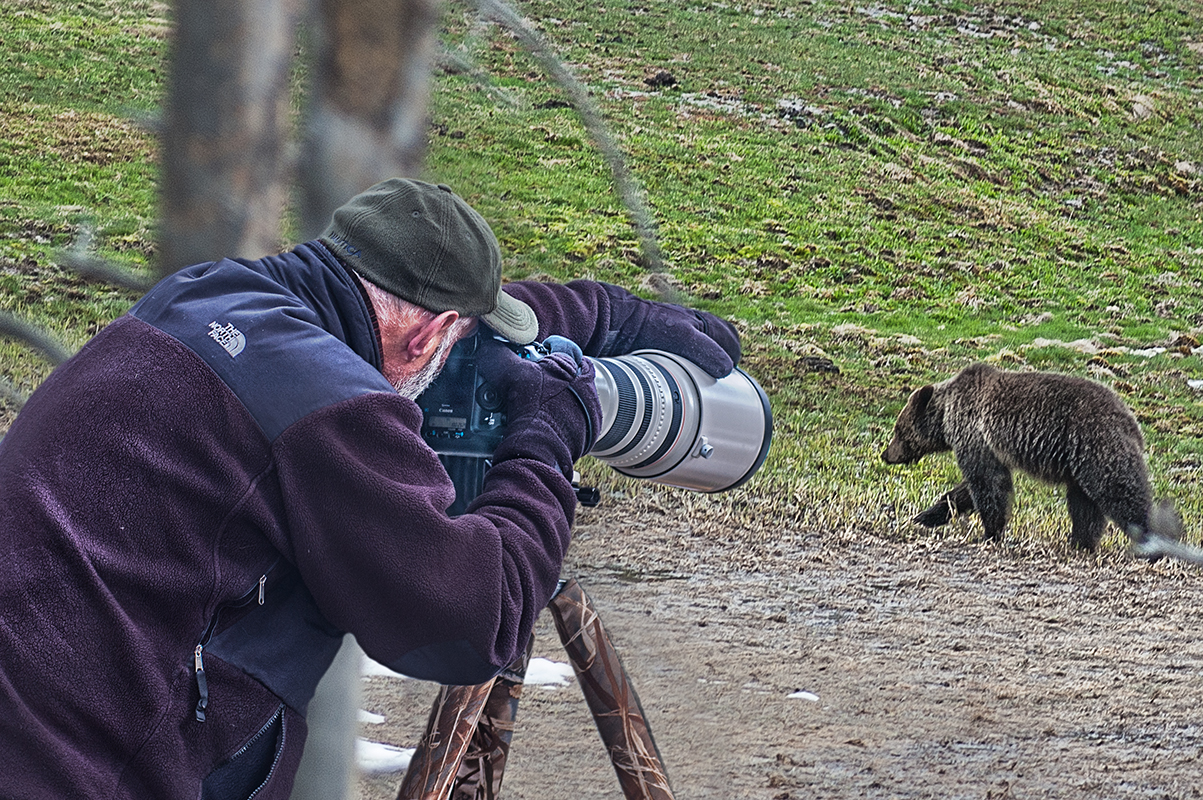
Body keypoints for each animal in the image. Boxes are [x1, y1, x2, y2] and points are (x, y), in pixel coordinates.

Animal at [880, 360, 1169, 548]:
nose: (886, 454)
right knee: (1084, 504)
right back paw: (1080, 542)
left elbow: (987, 484)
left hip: (1097, 445)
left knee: (1120, 491)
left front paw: (989, 533)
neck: (947, 416)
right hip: (1081, 464)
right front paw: (927, 515)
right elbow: (970, 489)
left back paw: (1150, 539)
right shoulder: (985, 445)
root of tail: (1131, 420)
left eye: (897, 429)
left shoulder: (975, 434)